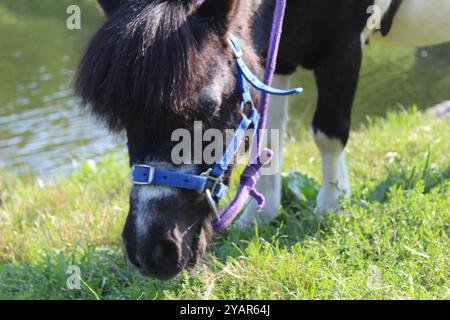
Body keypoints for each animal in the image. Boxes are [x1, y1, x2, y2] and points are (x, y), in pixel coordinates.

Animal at [76, 0, 450, 280]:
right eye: (124, 117)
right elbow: (268, 133)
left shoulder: (342, 48)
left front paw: (332, 203)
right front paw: (262, 213)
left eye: (207, 105)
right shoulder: (276, 52)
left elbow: (328, 132)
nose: (150, 250)